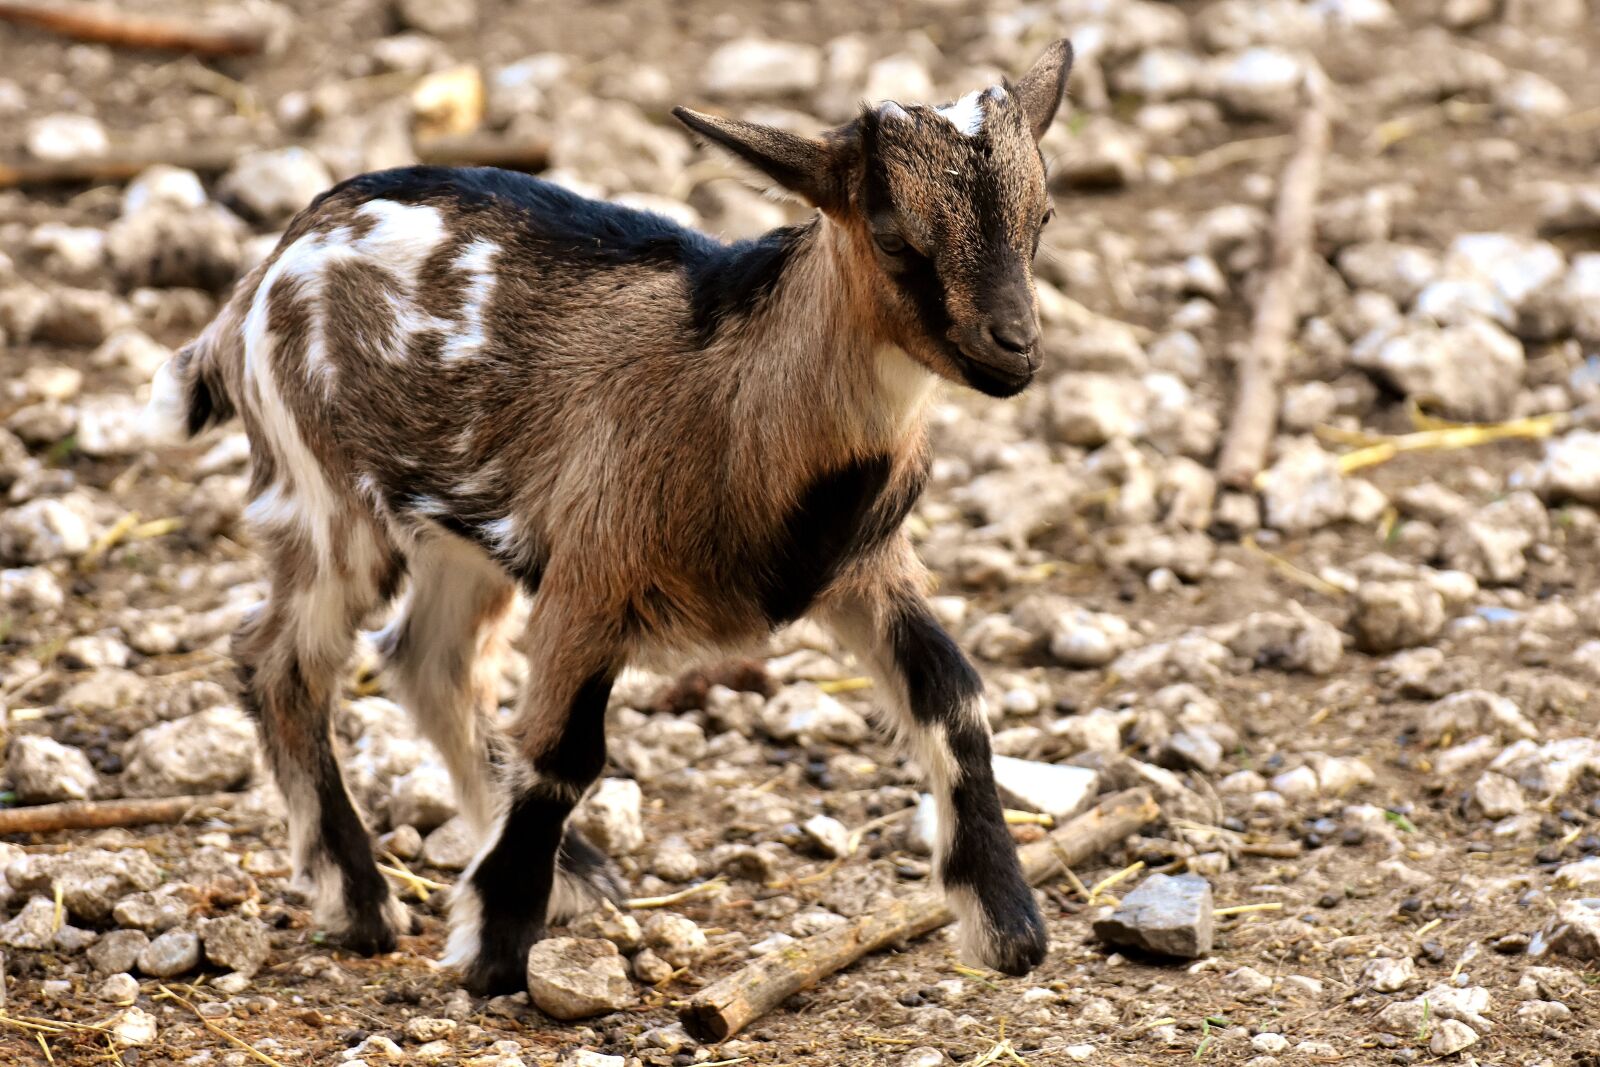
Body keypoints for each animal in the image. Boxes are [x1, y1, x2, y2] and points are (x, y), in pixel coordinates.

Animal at [148, 38, 1076, 995]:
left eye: (1042, 215)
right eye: (892, 233)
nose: (1015, 348)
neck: (739, 401)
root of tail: (265, 271)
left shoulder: (864, 570)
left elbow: (954, 694)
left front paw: (1007, 926)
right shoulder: (594, 576)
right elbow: (564, 751)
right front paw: (494, 950)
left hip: (466, 531)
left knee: (429, 660)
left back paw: (571, 876)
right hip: (329, 497)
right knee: (279, 660)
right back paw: (362, 898)